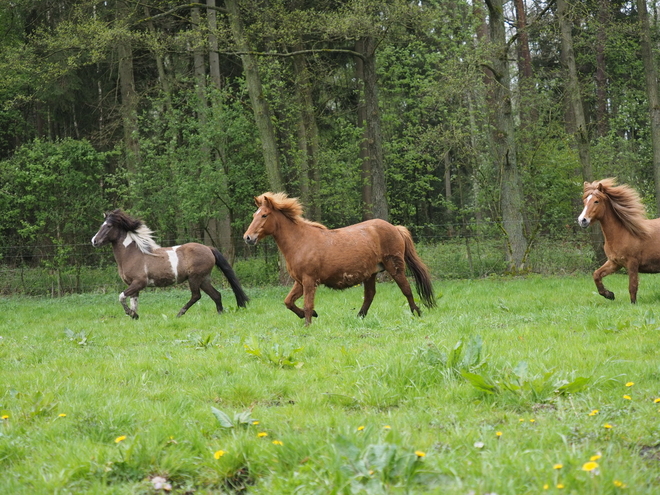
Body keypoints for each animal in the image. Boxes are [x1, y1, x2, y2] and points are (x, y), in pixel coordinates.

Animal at [91, 208, 249, 318]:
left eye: (108, 226)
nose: (94, 241)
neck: (131, 254)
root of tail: (209, 248)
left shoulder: (139, 282)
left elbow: (121, 297)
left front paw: (131, 314)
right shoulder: (133, 285)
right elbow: (133, 302)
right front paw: (134, 315)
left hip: (195, 278)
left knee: (196, 296)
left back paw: (179, 314)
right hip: (204, 279)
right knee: (216, 295)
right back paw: (220, 314)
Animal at [242, 193, 434, 326]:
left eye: (264, 215)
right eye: (254, 215)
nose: (248, 238)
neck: (300, 241)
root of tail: (395, 228)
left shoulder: (309, 280)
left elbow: (307, 304)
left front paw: (308, 325)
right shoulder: (300, 281)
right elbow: (288, 302)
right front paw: (310, 315)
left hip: (394, 266)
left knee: (406, 289)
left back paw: (416, 312)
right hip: (370, 273)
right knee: (370, 295)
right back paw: (359, 317)